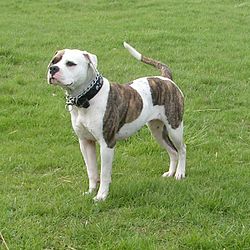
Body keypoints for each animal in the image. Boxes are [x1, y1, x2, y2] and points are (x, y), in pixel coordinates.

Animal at [47, 41, 187, 201]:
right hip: (157, 130)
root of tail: (166, 79)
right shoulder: (85, 142)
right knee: (172, 151)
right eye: (54, 61)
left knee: (182, 149)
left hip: (174, 127)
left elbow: (104, 173)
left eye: (70, 63)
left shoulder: (107, 144)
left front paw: (101, 196)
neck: (87, 98)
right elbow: (91, 170)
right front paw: (91, 191)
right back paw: (170, 173)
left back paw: (180, 174)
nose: (53, 69)